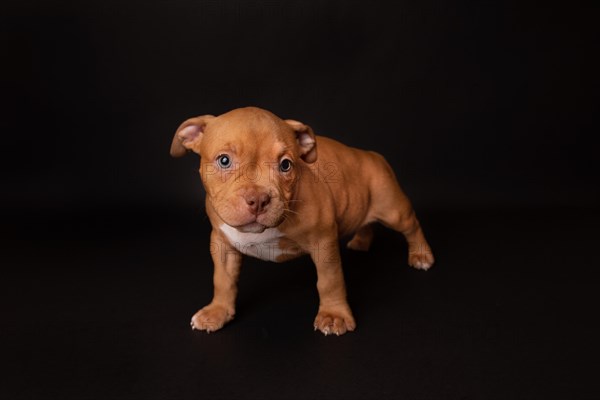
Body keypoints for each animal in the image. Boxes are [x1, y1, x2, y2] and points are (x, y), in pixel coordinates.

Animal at [171, 106, 434, 334]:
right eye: (224, 160)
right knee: (367, 223)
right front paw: (217, 312)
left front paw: (334, 315)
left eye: (286, 165)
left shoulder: (324, 244)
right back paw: (361, 243)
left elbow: (330, 281)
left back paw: (421, 255)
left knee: (412, 226)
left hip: (393, 209)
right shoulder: (222, 243)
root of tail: (371, 154)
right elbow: (223, 280)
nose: (258, 199)